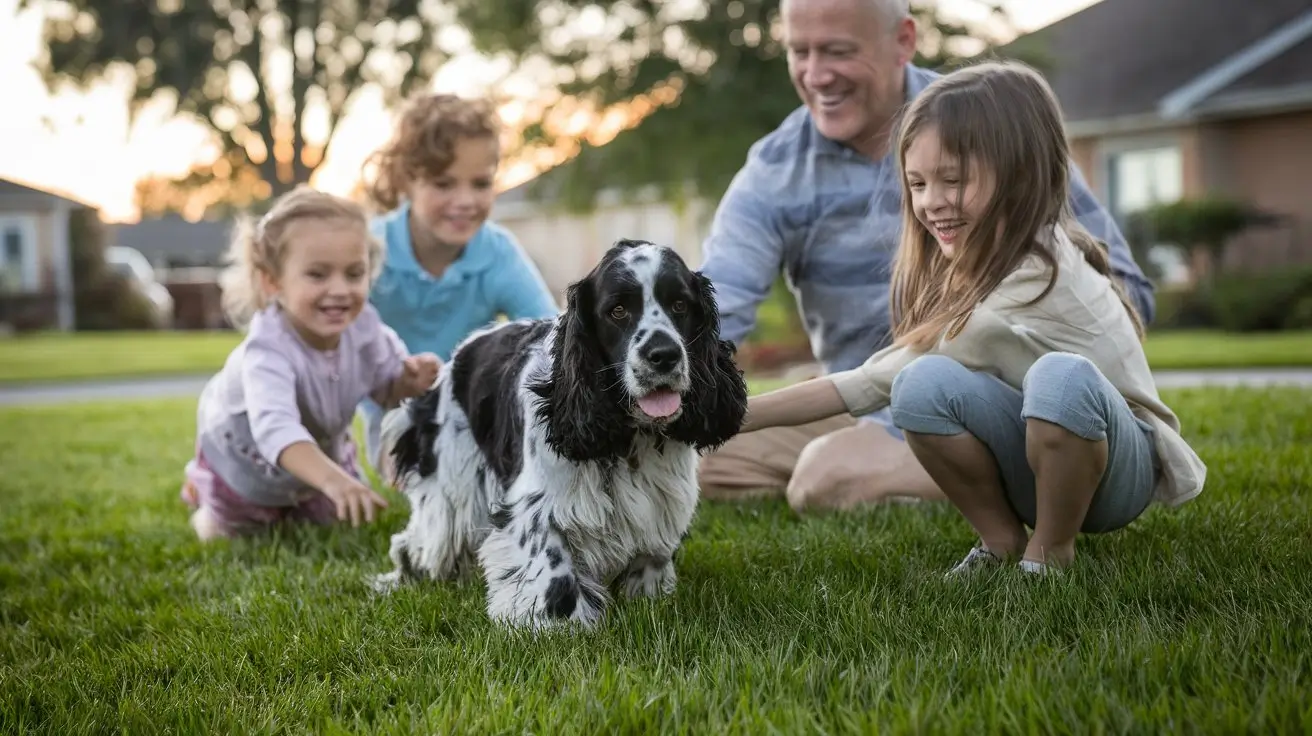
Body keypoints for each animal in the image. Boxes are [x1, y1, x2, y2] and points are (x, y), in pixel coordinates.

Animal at [369, 240, 750, 624]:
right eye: (617, 310)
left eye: (680, 305)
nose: (664, 355)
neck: (629, 438)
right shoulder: (537, 503)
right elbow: (553, 566)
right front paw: (558, 623)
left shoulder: (661, 499)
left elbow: (653, 556)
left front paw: (650, 599)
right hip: (452, 492)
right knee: (417, 544)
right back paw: (395, 583)